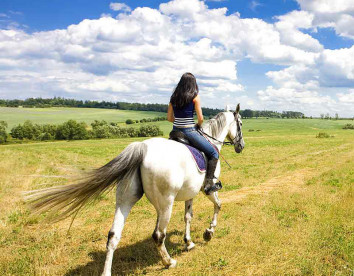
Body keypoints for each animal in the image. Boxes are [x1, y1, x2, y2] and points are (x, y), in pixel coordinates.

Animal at [27, 104, 243, 276]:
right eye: (240, 123)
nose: (241, 146)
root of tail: (142, 148)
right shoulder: (208, 189)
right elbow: (218, 206)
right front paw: (208, 232)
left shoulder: (189, 193)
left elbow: (188, 217)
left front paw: (188, 242)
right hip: (166, 203)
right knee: (158, 234)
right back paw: (169, 262)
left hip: (126, 200)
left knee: (113, 235)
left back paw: (107, 271)